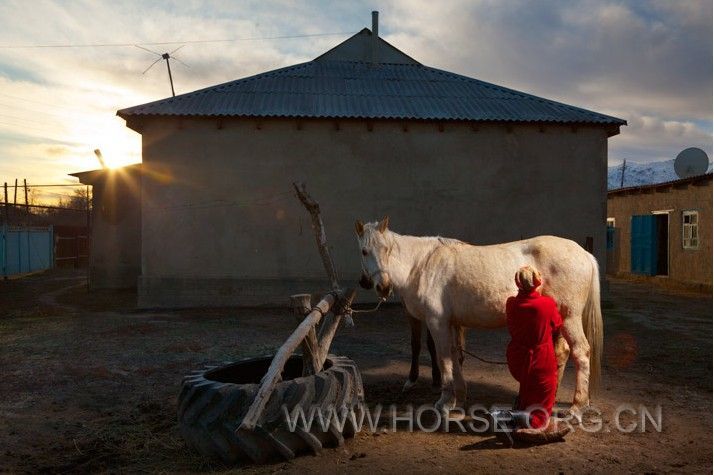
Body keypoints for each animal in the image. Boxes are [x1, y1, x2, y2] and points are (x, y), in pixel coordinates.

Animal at [355, 217, 603, 416]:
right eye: (364, 251)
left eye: (386, 249)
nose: (382, 286)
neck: (422, 265)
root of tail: (584, 253)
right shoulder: (450, 323)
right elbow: (454, 356)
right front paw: (459, 396)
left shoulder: (437, 322)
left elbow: (444, 359)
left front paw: (445, 401)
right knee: (562, 352)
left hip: (569, 317)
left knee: (581, 352)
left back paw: (577, 406)